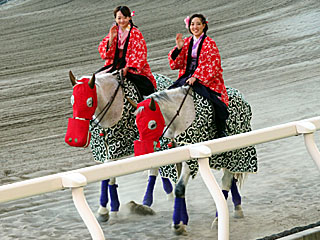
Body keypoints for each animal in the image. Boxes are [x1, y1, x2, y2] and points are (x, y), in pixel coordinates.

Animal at [64, 70, 174, 222]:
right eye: (72, 100)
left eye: (89, 102)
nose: (75, 139)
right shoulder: (102, 151)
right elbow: (106, 174)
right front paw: (107, 209)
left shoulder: (118, 148)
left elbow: (110, 175)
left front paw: (109, 209)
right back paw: (167, 192)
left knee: (155, 168)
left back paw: (147, 202)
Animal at [134, 86, 258, 234]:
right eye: (136, 123)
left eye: (152, 125)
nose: (144, 151)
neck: (179, 118)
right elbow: (176, 185)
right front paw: (182, 221)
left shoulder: (191, 158)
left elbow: (179, 188)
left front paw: (178, 225)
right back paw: (236, 207)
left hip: (235, 152)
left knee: (226, 181)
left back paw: (219, 219)